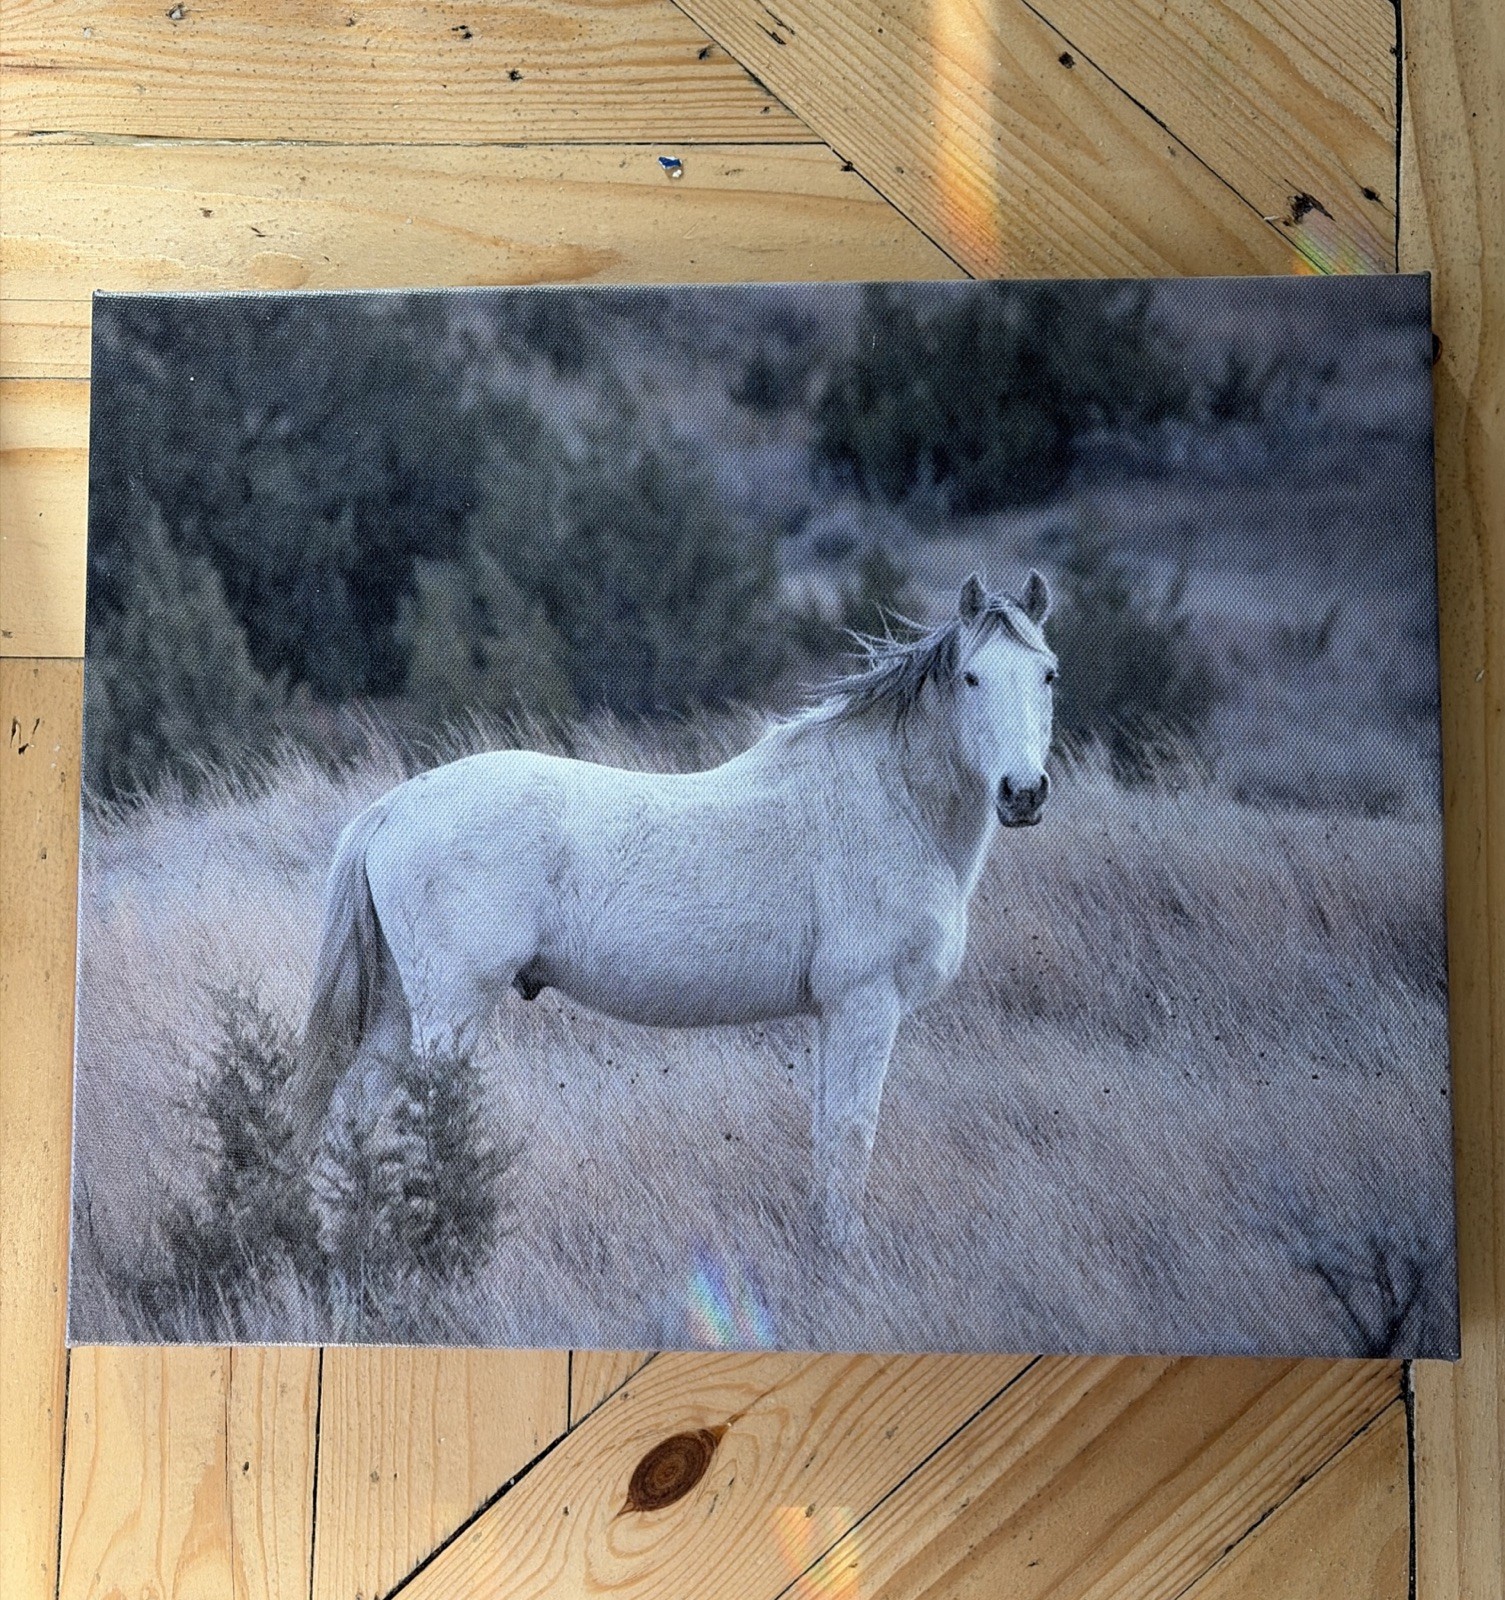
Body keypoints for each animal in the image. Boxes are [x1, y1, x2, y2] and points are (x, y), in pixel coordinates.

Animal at [293, 571, 1056, 1249]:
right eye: (971, 678)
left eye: (1046, 673)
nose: (1022, 792)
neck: (890, 800)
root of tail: (395, 804)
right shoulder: (865, 1004)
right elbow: (850, 1133)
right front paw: (845, 1250)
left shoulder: (831, 1014)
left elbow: (825, 1135)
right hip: (449, 1009)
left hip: (399, 1011)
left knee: (351, 1112)